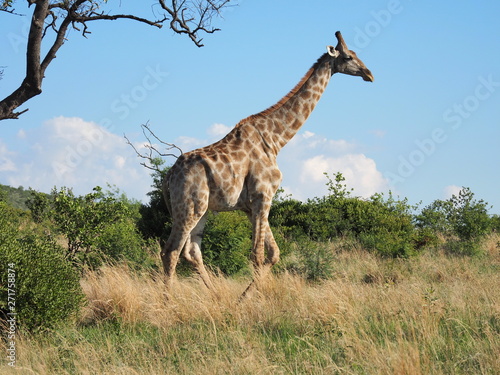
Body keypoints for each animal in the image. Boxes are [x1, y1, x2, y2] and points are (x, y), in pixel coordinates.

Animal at [162, 31, 374, 296]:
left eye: (355, 54)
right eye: (348, 57)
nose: (369, 74)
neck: (275, 140)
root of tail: (168, 176)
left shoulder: (251, 205)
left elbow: (273, 254)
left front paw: (243, 299)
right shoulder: (263, 195)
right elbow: (258, 255)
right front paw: (253, 300)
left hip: (202, 208)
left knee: (191, 252)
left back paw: (217, 297)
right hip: (189, 206)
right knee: (171, 251)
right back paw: (167, 301)